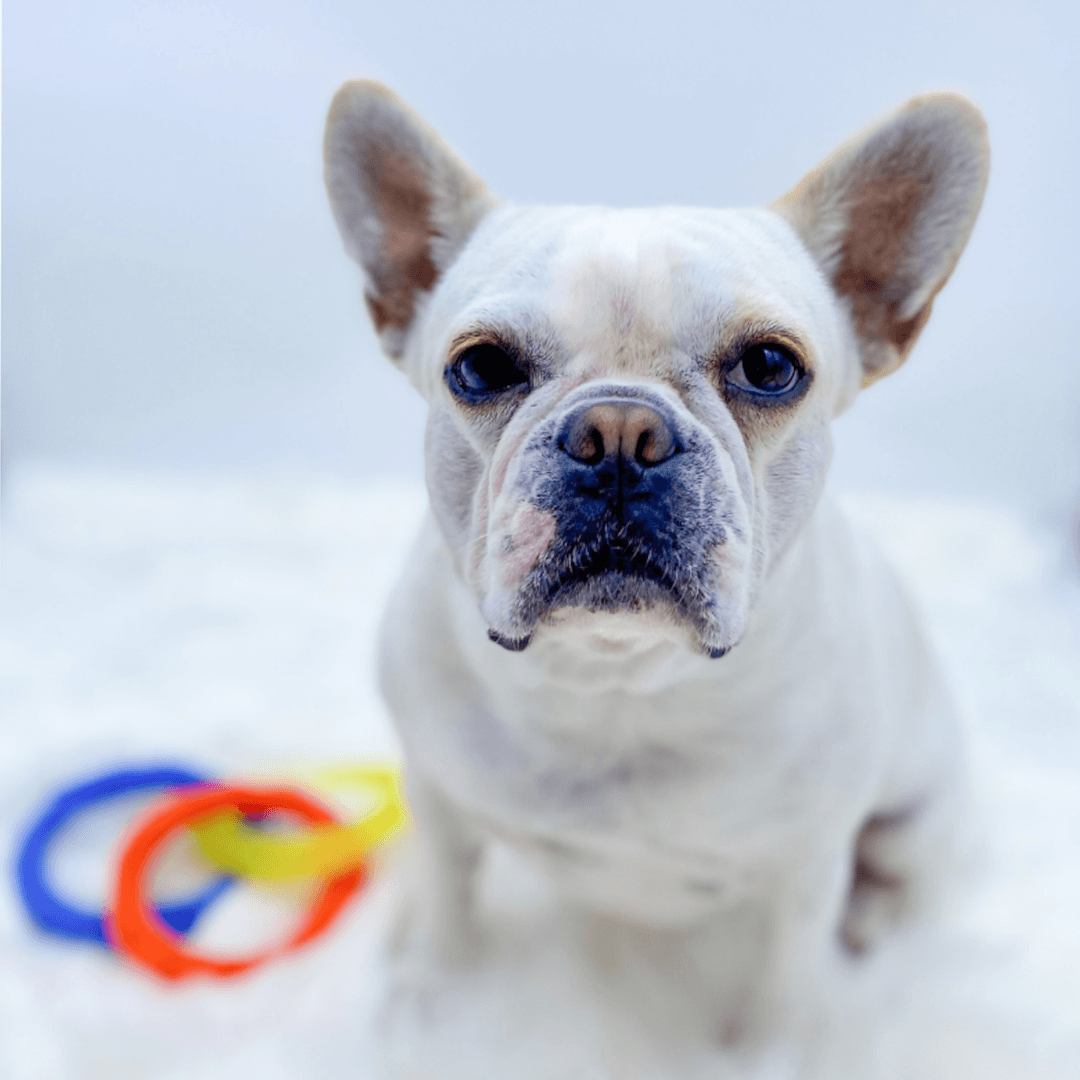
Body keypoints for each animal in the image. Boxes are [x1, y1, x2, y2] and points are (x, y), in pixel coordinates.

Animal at [317, 84, 989, 1062]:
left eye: (771, 366)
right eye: (478, 366)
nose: (620, 434)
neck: (615, 682)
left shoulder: (804, 873)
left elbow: (787, 982)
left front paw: (771, 1058)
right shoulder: (437, 802)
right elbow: (449, 902)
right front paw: (427, 1005)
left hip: (914, 817)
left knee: (896, 883)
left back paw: (870, 929)